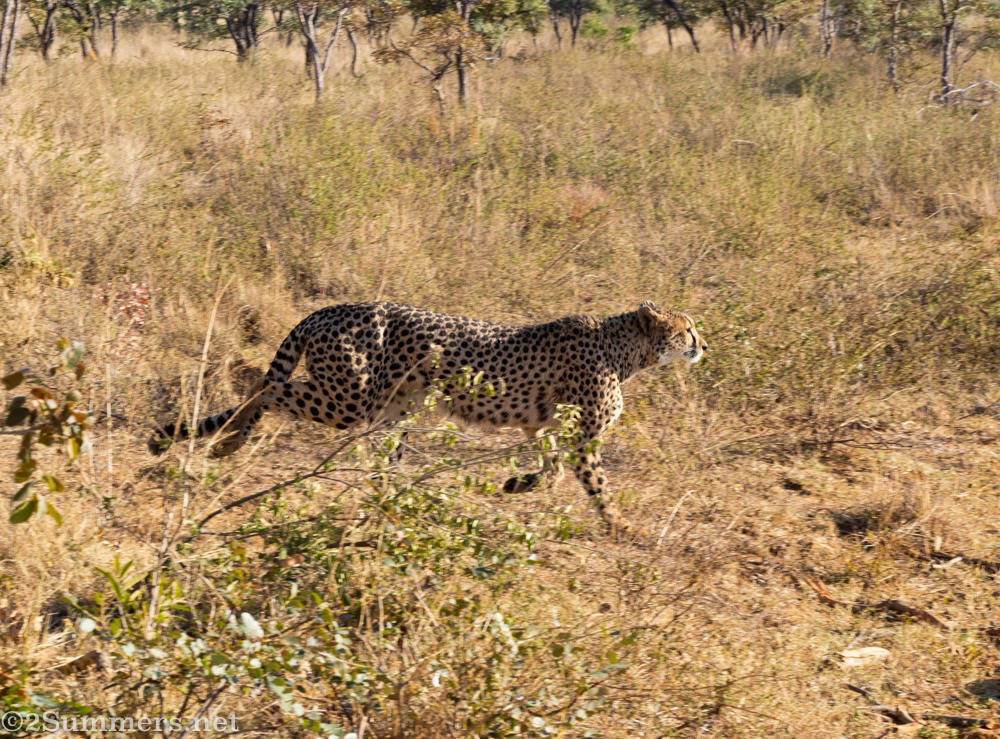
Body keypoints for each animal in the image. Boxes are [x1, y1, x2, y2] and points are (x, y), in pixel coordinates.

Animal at [149, 300, 707, 529]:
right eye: (687, 328)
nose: (704, 345)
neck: (625, 348)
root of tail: (331, 308)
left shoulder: (541, 425)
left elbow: (548, 470)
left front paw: (516, 485)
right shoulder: (582, 435)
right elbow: (597, 486)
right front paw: (622, 528)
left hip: (388, 410)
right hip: (348, 400)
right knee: (268, 387)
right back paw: (230, 440)